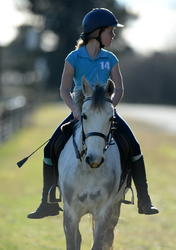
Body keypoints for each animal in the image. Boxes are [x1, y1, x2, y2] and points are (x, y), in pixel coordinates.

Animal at [58, 79, 127, 249]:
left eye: (111, 119)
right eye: (84, 116)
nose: (94, 159)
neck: (88, 170)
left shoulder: (104, 213)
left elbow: (99, 243)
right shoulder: (70, 214)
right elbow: (73, 242)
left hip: (115, 208)